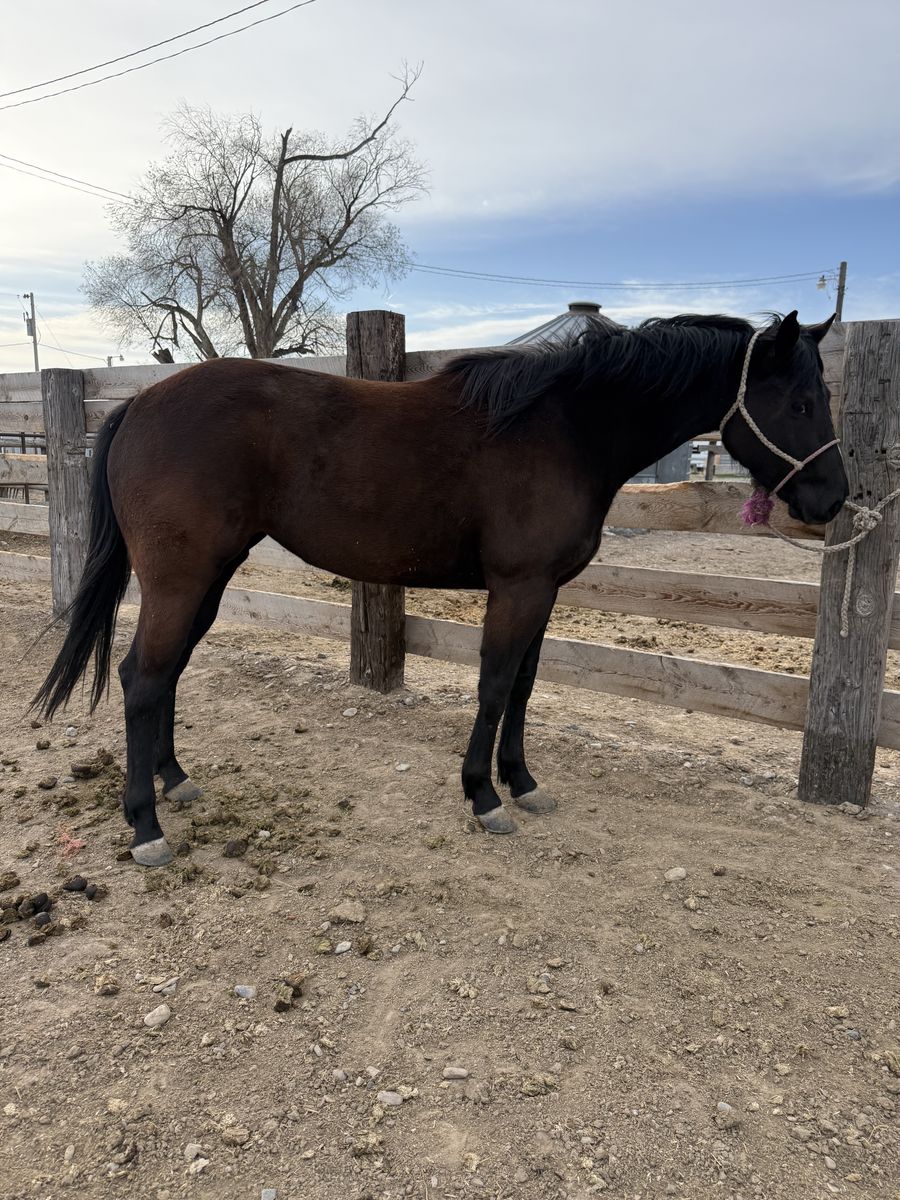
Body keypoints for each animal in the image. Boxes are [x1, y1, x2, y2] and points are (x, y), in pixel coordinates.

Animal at [33, 310, 848, 866]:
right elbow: (493, 686)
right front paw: (484, 796)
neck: (565, 429)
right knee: (142, 678)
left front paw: (522, 782)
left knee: (165, 675)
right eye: (801, 403)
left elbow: (523, 688)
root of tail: (139, 404)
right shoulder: (518, 588)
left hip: (209, 577)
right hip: (181, 578)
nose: (834, 500)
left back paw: (175, 780)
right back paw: (146, 827)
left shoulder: (545, 592)